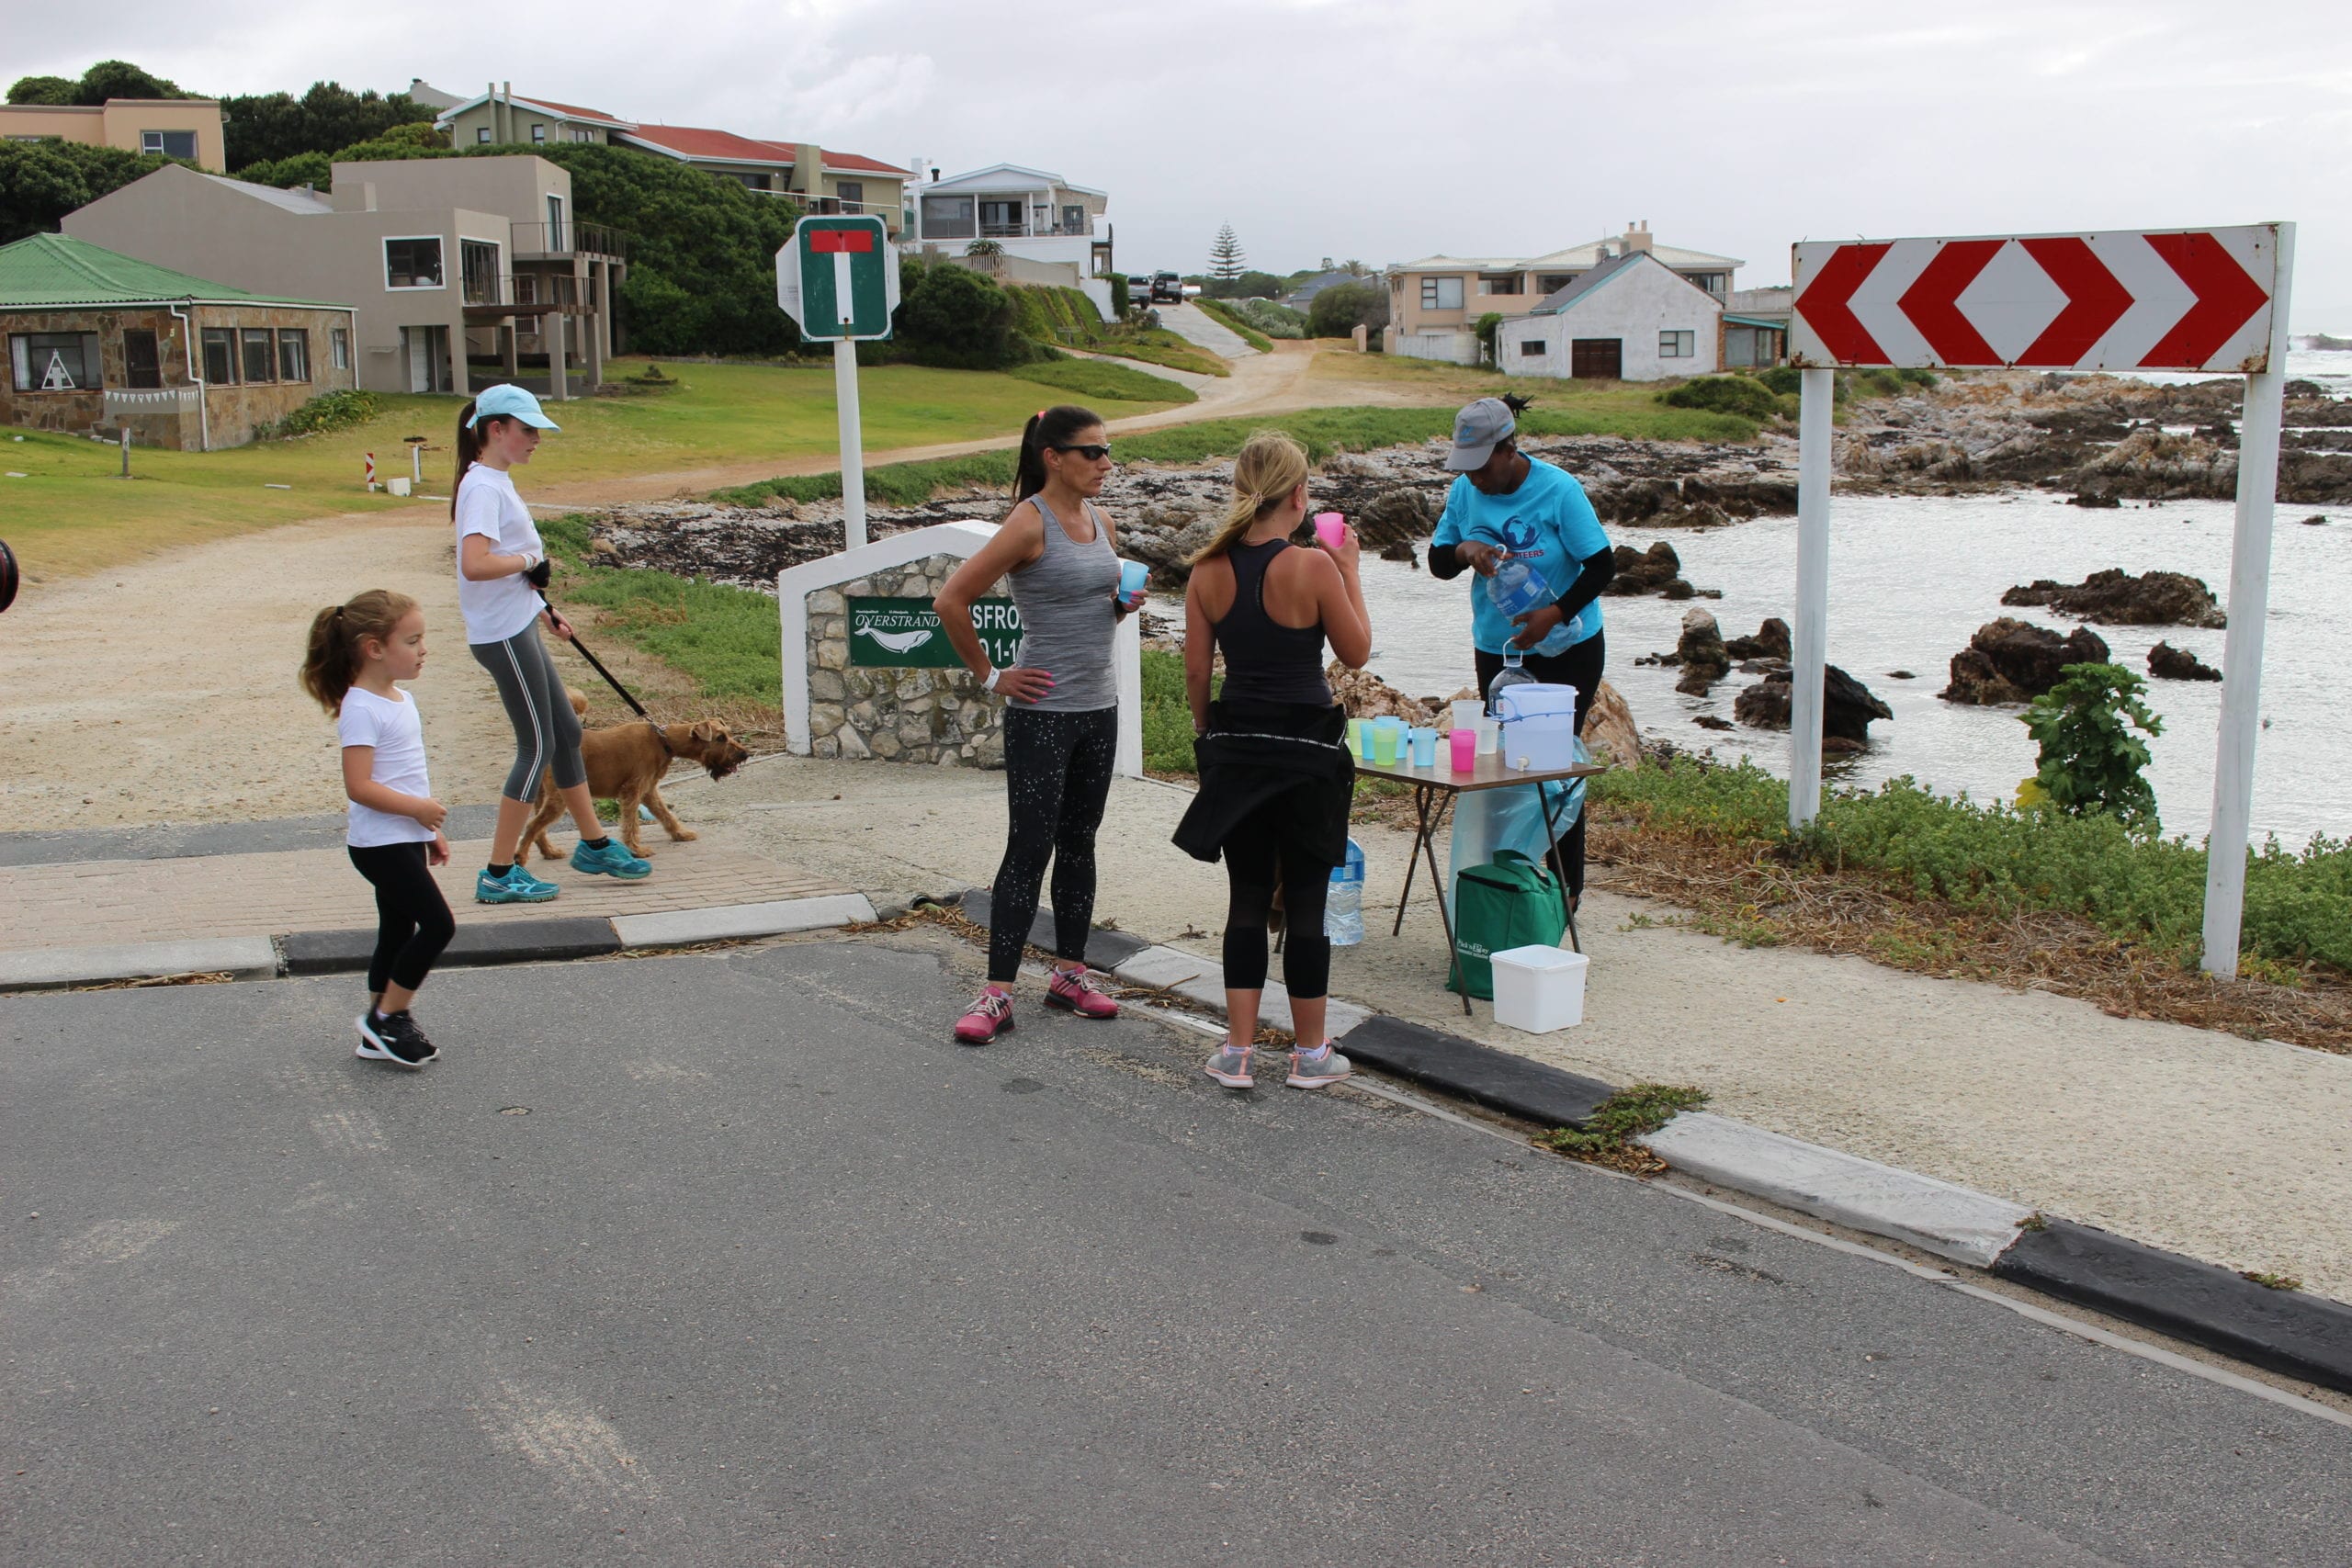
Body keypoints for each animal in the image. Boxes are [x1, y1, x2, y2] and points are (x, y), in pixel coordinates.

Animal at [524, 686, 752, 860]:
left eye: (729, 734)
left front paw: (680, 833)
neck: (664, 741)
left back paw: (549, 852)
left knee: (538, 828)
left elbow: (665, 814)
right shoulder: (631, 792)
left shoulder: (649, 791)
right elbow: (631, 823)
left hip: (542, 794)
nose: (745, 754)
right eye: (720, 738)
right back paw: (521, 857)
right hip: (558, 798)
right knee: (532, 826)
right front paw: (636, 850)